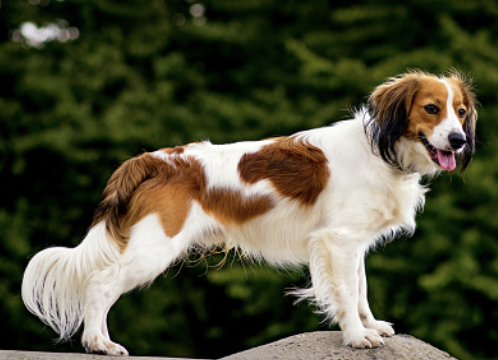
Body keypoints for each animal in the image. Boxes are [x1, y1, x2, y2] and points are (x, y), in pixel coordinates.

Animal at [21, 69, 476, 354]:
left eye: (461, 112)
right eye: (431, 108)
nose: (458, 140)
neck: (382, 153)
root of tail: (155, 158)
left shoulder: (352, 244)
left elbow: (360, 290)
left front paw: (371, 325)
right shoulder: (339, 241)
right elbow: (347, 294)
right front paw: (357, 336)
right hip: (154, 249)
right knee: (100, 284)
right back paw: (98, 343)